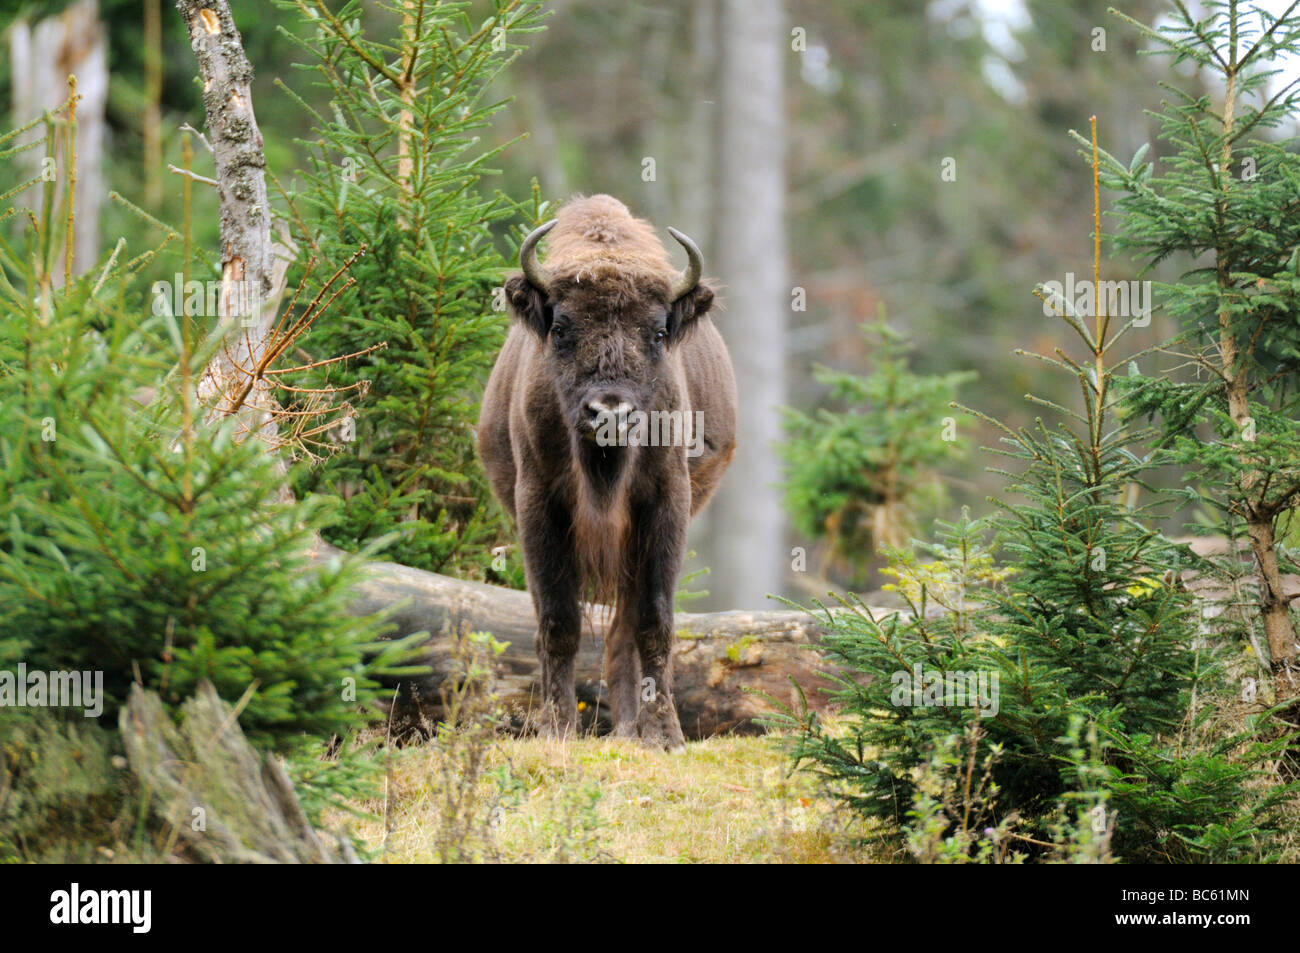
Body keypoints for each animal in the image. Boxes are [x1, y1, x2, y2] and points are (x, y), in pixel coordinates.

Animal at [480, 193, 743, 748]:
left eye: (659, 331)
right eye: (560, 328)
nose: (609, 412)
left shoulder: (666, 505)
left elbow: (654, 621)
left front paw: (664, 735)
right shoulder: (538, 506)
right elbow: (558, 621)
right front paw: (556, 729)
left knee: (624, 625)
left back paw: (628, 729)